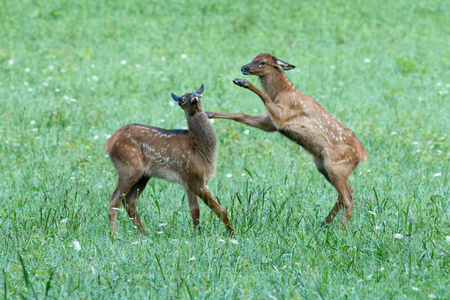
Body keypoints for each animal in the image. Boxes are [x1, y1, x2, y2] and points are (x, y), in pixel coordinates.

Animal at [104, 85, 234, 237]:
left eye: (198, 94)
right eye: (182, 99)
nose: (194, 98)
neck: (199, 149)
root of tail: (109, 143)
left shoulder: (189, 180)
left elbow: (195, 211)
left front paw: (197, 234)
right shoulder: (195, 177)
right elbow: (220, 209)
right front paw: (232, 234)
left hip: (143, 175)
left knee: (129, 200)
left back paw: (143, 234)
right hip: (128, 167)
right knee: (114, 199)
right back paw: (115, 235)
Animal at [207, 53, 370, 225]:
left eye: (263, 62)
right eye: (253, 58)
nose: (243, 68)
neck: (281, 93)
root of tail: (362, 155)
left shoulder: (282, 115)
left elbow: (265, 97)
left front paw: (242, 82)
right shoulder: (269, 123)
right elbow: (241, 115)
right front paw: (209, 113)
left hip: (337, 165)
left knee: (348, 198)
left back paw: (341, 227)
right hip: (324, 165)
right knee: (346, 193)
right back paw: (325, 224)